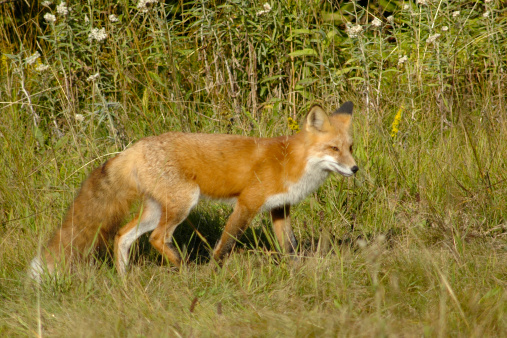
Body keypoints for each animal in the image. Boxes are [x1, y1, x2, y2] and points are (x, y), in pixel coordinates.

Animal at [30, 103, 358, 280]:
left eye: (351, 147)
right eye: (334, 149)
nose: (355, 169)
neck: (290, 161)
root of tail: (133, 148)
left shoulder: (280, 209)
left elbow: (289, 248)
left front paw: (296, 273)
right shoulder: (247, 203)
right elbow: (224, 246)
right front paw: (213, 274)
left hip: (157, 209)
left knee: (123, 236)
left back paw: (125, 281)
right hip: (183, 202)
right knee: (156, 238)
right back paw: (185, 269)